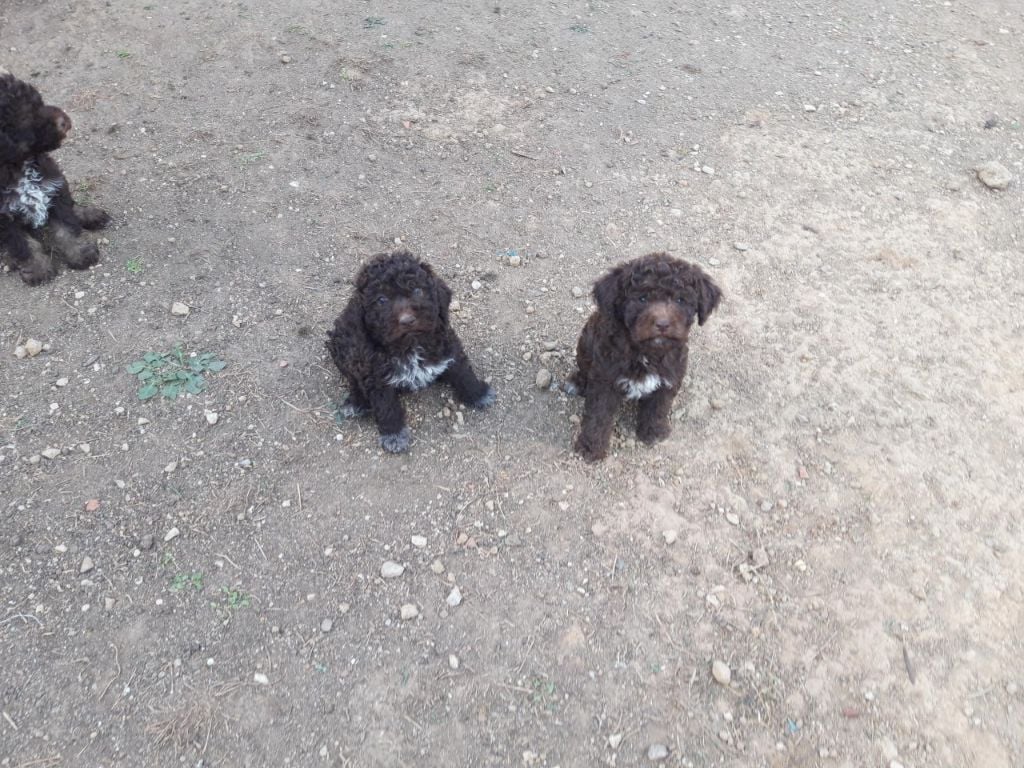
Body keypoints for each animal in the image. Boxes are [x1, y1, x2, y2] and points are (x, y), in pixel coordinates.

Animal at [0, 68, 110, 286]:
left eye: (39, 102)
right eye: (24, 116)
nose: (64, 120)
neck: (19, 167)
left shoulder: (53, 187)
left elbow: (65, 227)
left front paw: (80, 253)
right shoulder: (5, 220)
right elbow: (23, 245)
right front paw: (38, 269)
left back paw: (90, 214)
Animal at [323, 249, 491, 454]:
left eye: (418, 291)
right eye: (381, 300)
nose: (407, 320)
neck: (410, 345)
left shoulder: (449, 347)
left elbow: (464, 373)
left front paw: (479, 394)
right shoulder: (376, 378)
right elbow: (386, 407)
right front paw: (394, 435)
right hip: (344, 348)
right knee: (353, 378)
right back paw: (357, 402)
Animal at [565, 253, 724, 462]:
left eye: (680, 300)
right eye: (642, 298)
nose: (663, 324)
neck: (647, 353)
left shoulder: (670, 378)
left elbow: (658, 408)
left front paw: (653, 432)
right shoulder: (605, 380)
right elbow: (598, 415)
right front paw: (591, 448)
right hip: (585, 343)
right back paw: (578, 382)